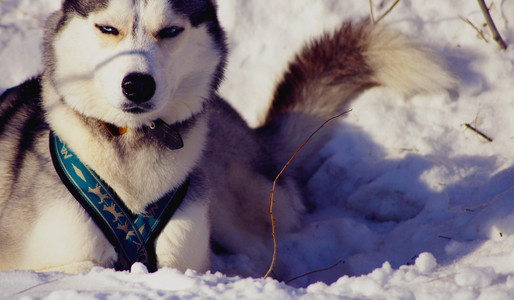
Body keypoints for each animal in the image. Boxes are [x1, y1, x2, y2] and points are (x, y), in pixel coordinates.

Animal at [0, 0, 450, 276]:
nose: (137, 84)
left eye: (170, 31)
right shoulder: (61, 261)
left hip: (235, 203)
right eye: (107, 28)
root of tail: (252, 133)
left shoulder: (184, 258)